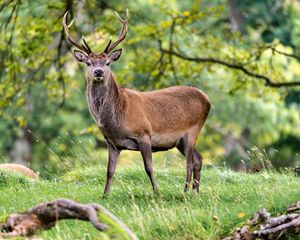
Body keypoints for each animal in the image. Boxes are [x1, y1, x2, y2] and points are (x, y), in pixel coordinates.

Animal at [62, 10, 210, 196]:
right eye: (88, 63)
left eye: (108, 63)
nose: (98, 71)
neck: (118, 116)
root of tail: (207, 98)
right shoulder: (112, 143)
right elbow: (109, 171)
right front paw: (105, 195)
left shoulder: (144, 134)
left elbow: (149, 168)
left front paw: (157, 193)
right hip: (180, 141)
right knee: (198, 159)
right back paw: (195, 193)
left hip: (192, 130)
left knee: (189, 163)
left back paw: (185, 193)